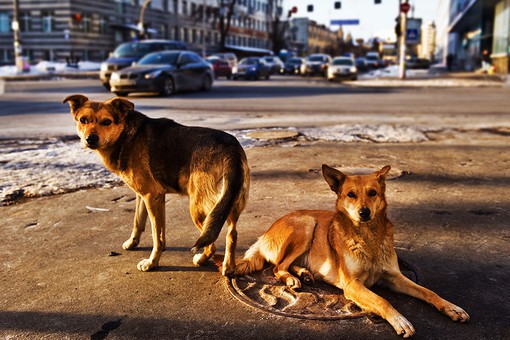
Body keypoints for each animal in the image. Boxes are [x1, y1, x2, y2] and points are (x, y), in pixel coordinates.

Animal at [62, 95, 250, 276]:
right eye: (83, 120)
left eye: (107, 122)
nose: (90, 139)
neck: (125, 135)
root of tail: (231, 149)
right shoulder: (147, 196)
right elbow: (140, 222)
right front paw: (133, 242)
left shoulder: (151, 197)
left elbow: (156, 236)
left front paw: (152, 263)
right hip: (228, 204)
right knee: (232, 234)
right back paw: (229, 266)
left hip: (199, 208)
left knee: (211, 243)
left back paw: (201, 260)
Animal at [235, 165, 470, 338]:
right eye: (351, 195)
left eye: (372, 193)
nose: (364, 212)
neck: (368, 238)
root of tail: (265, 233)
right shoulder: (352, 285)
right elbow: (382, 300)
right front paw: (399, 320)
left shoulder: (395, 278)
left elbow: (428, 292)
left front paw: (451, 308)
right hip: (307, 224)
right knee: (277, 266)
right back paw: (292, 278)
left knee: (287, 264)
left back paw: (303, 273)